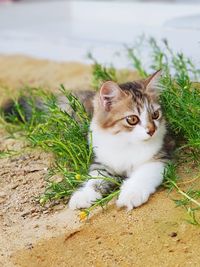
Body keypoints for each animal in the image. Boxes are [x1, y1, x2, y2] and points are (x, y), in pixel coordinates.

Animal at [68, 70, 173, 211]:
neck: (126, 141)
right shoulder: (102, 162)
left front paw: (131, 194)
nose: (152, 131)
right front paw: (84, 195)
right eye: (132, 119)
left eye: (155, 115)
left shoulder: (159, 158)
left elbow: (142, 175)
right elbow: (94, 179)